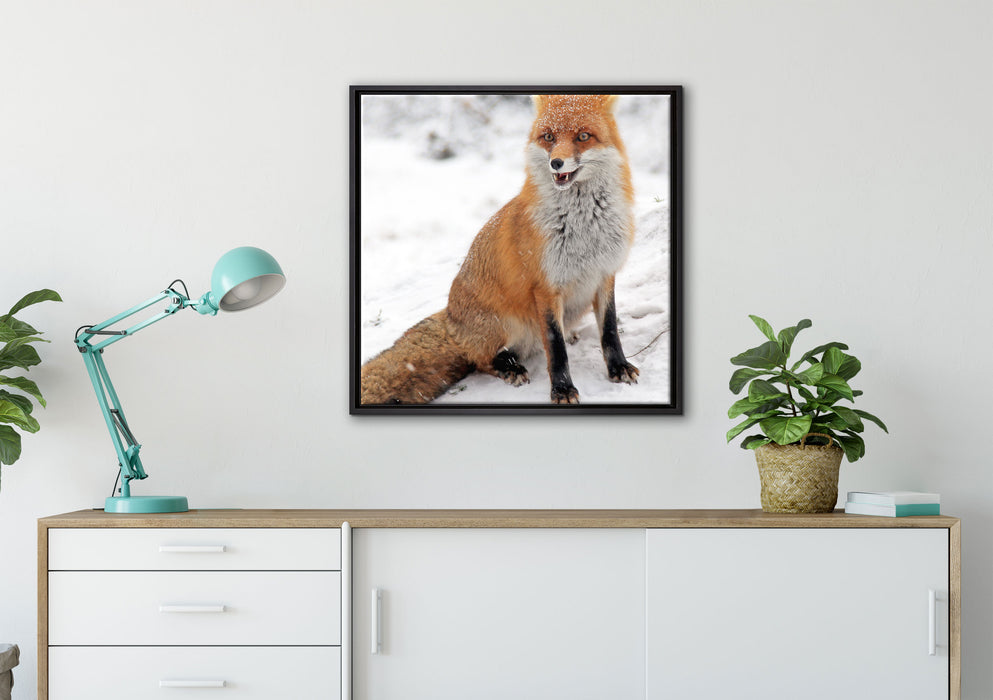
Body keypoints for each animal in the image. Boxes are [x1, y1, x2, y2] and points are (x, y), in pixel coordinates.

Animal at [361, 94, 640, 405]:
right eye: (549, 137)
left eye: (583, 136)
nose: (556, 163)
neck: (584, 228)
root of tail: (451, 320)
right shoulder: (545, 287)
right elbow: (556, 349)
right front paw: (562, 389)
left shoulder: (605, 274)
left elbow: (610, 331)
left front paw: (619, 368)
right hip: (506, 324)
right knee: (481, 360)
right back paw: (508, 367)